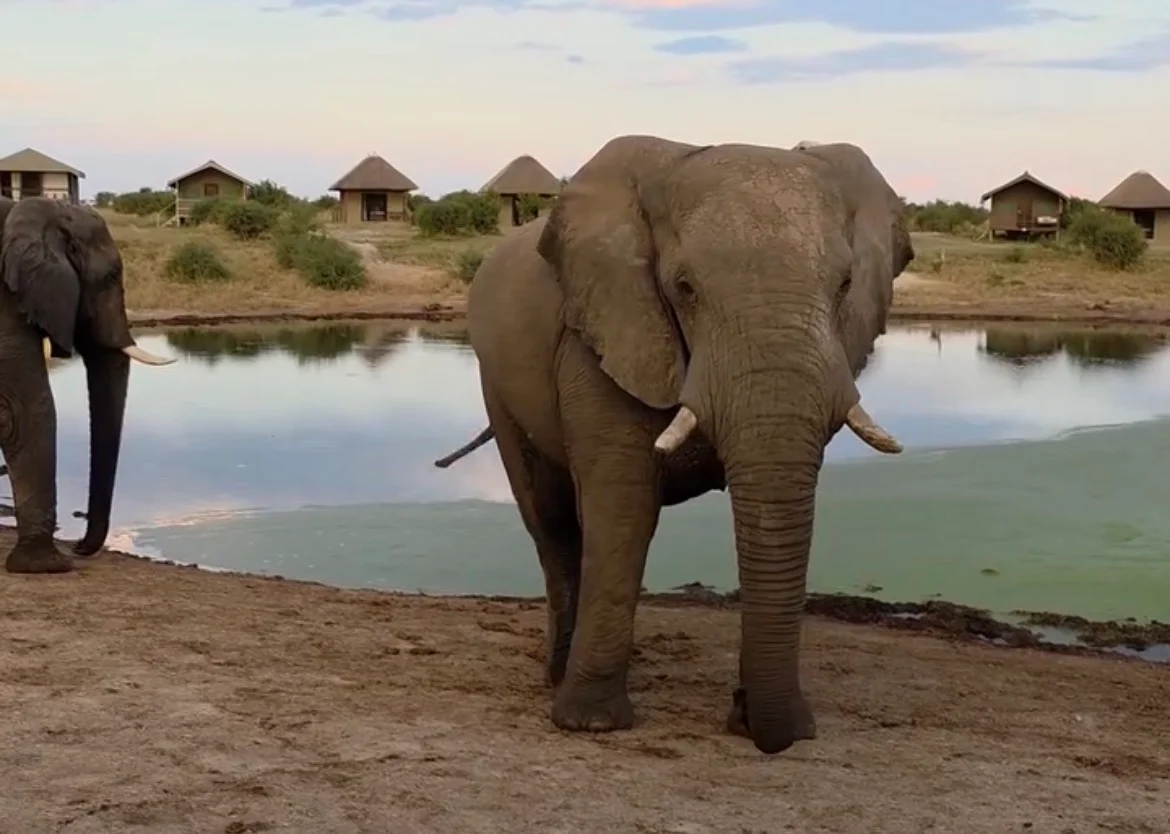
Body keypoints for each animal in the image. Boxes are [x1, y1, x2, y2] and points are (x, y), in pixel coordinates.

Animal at [433, 134, 912, 755]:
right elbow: (625, 507)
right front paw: (592, 723)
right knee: (552, 523)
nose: (778, 736)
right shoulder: (604, 333)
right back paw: (558, 676)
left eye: (845, 286)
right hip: (495, 380)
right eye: (684, 289)